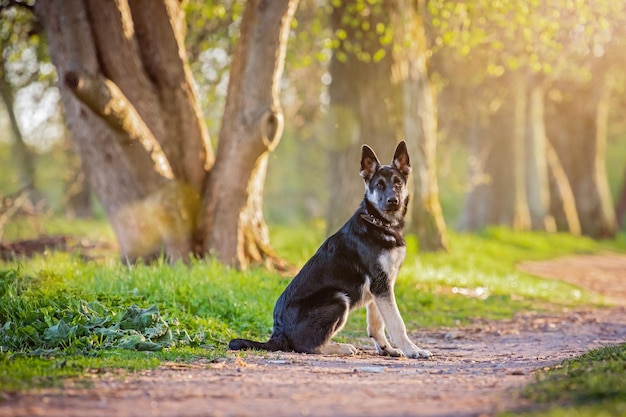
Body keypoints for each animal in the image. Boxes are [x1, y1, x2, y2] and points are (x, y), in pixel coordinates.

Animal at [228, 141, 428, 358]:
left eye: (398, 183)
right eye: (379, 185)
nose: (393, 201)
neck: (379, 224)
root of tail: (279, 334)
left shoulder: (382, 286)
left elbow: (377, 323)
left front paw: (387, 348)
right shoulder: (380, 284)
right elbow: (397, 323)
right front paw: (412, 350)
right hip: (338, 298)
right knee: (306, 345)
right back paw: (340, 347)